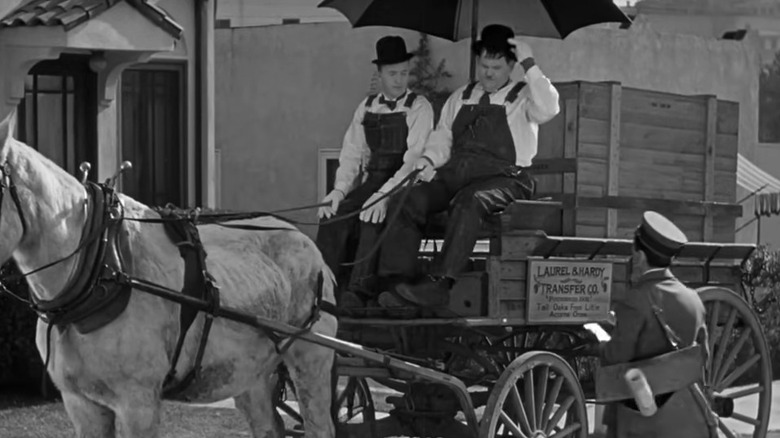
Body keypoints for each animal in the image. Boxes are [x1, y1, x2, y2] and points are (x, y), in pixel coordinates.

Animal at [0, 110, 338, 438]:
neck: (100, 268)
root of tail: (309, 244)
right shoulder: (81, 404)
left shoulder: (138, 402)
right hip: (249, 370)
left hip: (311, 360)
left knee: (319, 425)